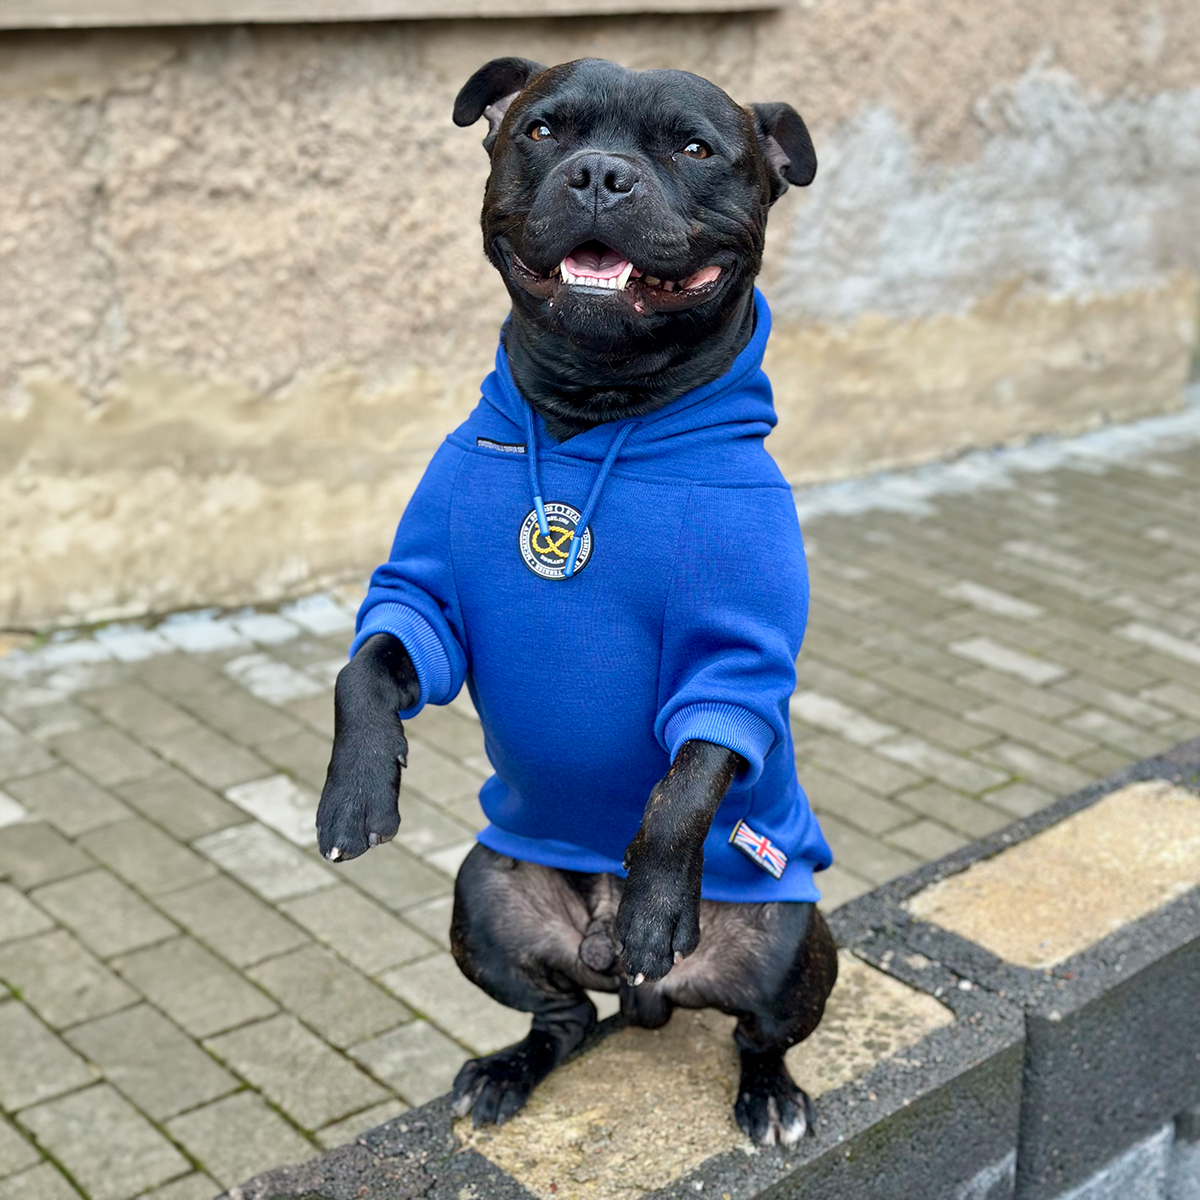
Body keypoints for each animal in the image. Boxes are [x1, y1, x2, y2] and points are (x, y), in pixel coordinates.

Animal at [319, 58, 844, 1152]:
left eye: (693, 146)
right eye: (543, 130)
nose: (600, 174)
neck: (596, 411)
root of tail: (642, 994)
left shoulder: (736, 665)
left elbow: (683, 784)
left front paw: (652, 904)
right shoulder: (422, 599)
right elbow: (365, 670)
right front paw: (354, 794)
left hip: (789, 940)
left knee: (758, 1033)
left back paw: (764, 1088)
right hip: (486, 901)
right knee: (560, 1017)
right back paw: (507, 1069)